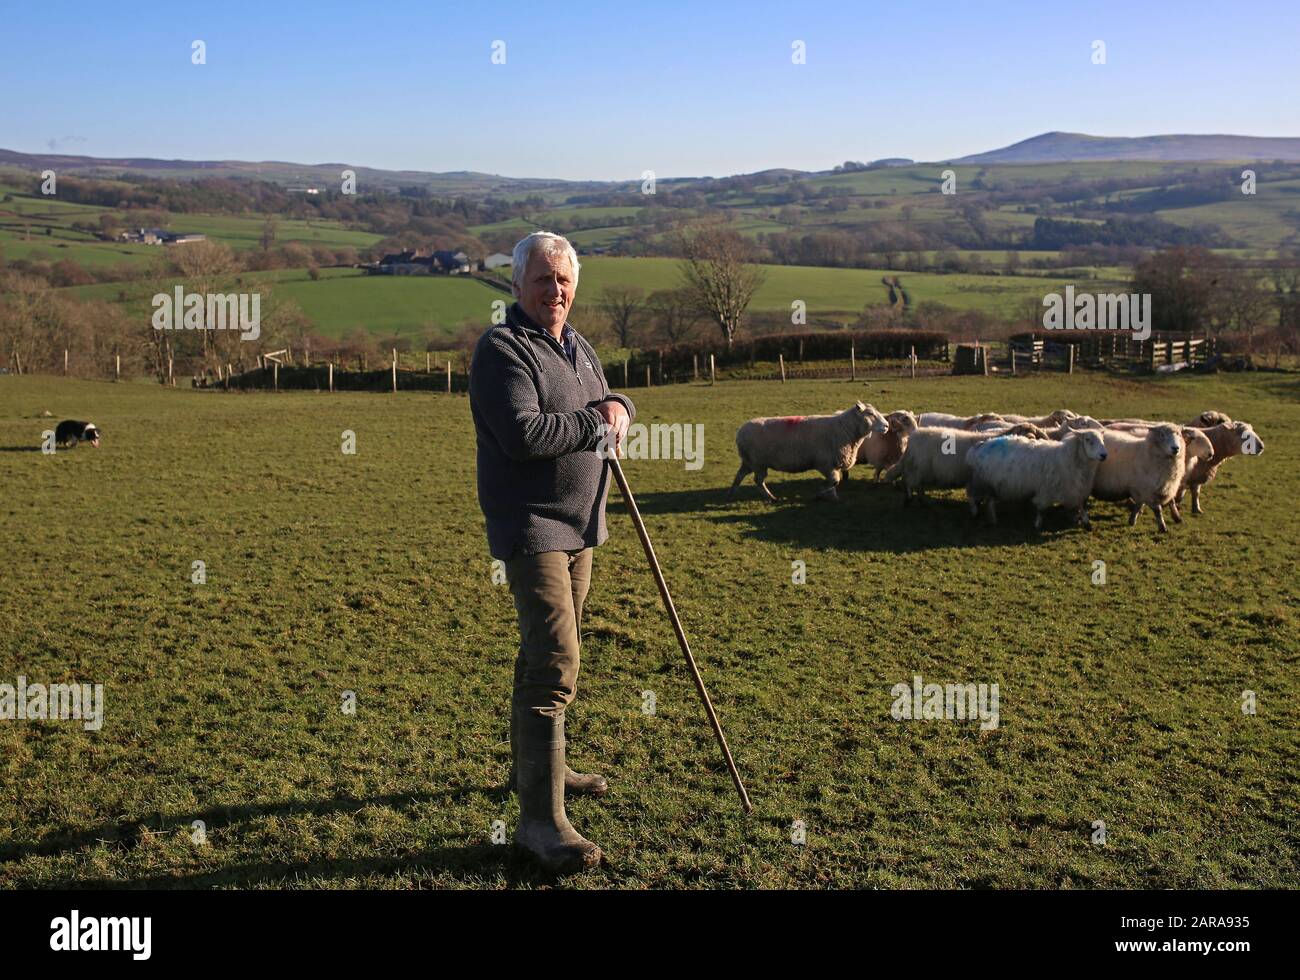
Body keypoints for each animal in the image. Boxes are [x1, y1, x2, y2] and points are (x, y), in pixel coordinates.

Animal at [733, 397, 894, 499]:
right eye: (870, 413)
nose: (886, 426)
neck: (845, 428)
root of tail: (740, 432)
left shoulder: (832, 464)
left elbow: (835, 482)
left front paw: (832, 496)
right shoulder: (825, 463)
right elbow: (834, 481)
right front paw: (821, 494)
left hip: (749, 461)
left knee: (739, 476)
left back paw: (731, 494)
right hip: (758, 463)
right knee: (758, 481)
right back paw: (771, 497)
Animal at [967, 428, 1107, 527]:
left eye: (1102, 439)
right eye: (1088, 439)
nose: (1104, 455)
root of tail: (979, 446)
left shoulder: (1077, 488)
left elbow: (1081, 505)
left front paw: (1086, 521)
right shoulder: (1045, 489)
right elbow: (1041, 509)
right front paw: (1038, 524)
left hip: (992, 484)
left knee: (990, 501)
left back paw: (993, 519)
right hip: (980, 481)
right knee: (972, 496)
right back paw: (974, 513)